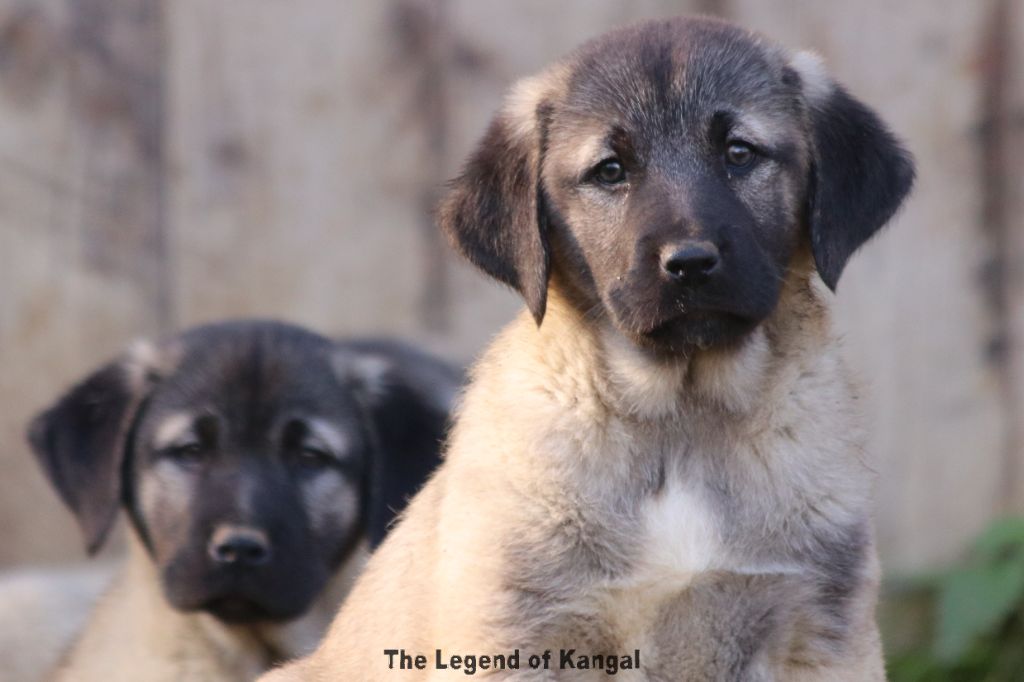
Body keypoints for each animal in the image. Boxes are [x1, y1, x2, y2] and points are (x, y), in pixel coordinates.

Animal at [262, 15, 913, 679]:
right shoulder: (517, 635)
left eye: (739, 153)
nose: (690, 263)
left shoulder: (823, 634)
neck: (680, 419)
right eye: (610, 171)